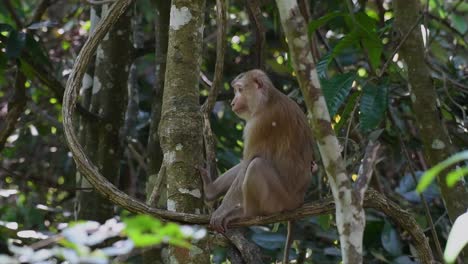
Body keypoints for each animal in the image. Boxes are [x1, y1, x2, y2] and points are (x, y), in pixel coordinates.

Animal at [199, 69, 312, 262]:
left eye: (239, 90)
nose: (233, 102)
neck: (267, 100)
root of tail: (299, 200)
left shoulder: (260, 124)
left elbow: (248, 162)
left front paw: (221, 211)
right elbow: (244, 164)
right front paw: (212, 193)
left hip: (281, 200)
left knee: (256, 165)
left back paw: (247, 213)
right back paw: (210, 191)